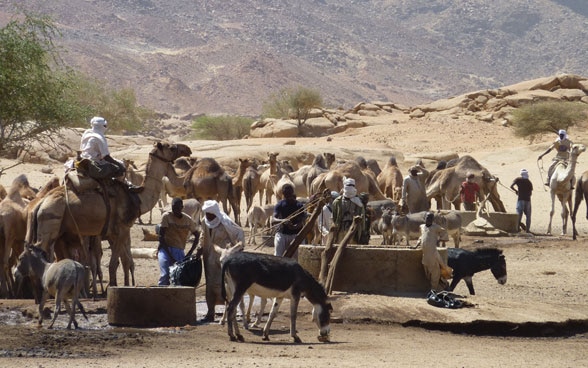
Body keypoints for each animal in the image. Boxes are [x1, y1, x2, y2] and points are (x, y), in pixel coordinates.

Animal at [27, 142, 191, 286]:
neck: (136, 197)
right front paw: (112, 286)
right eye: (171, 147)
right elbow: (114, 264)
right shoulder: (121, 229)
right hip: (50, 222)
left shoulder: (113, 232)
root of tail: (41, 203)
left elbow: (122, 261)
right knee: (42, 251)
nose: (187, 149)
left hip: (56, 229)